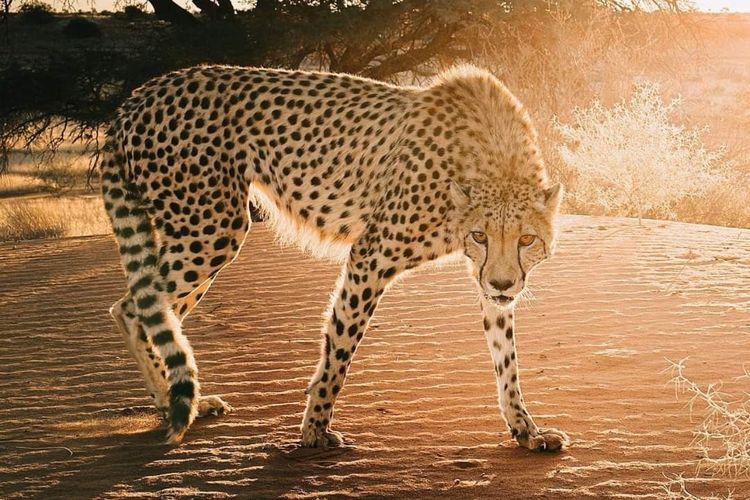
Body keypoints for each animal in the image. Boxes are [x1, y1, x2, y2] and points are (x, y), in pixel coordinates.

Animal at [100, 63, 568, 451]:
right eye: (479, 235)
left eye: (527, 239)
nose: (503, 284)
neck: (493, 159)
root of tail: (140, 95)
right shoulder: (371, 256)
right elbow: (340, 346)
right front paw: (315, 429)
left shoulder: (490, 282)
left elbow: (506, 359)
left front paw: (526, 430)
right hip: (211, 228)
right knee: (134, 306)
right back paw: (172, 405)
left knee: (145, 309)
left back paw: (175, 404)